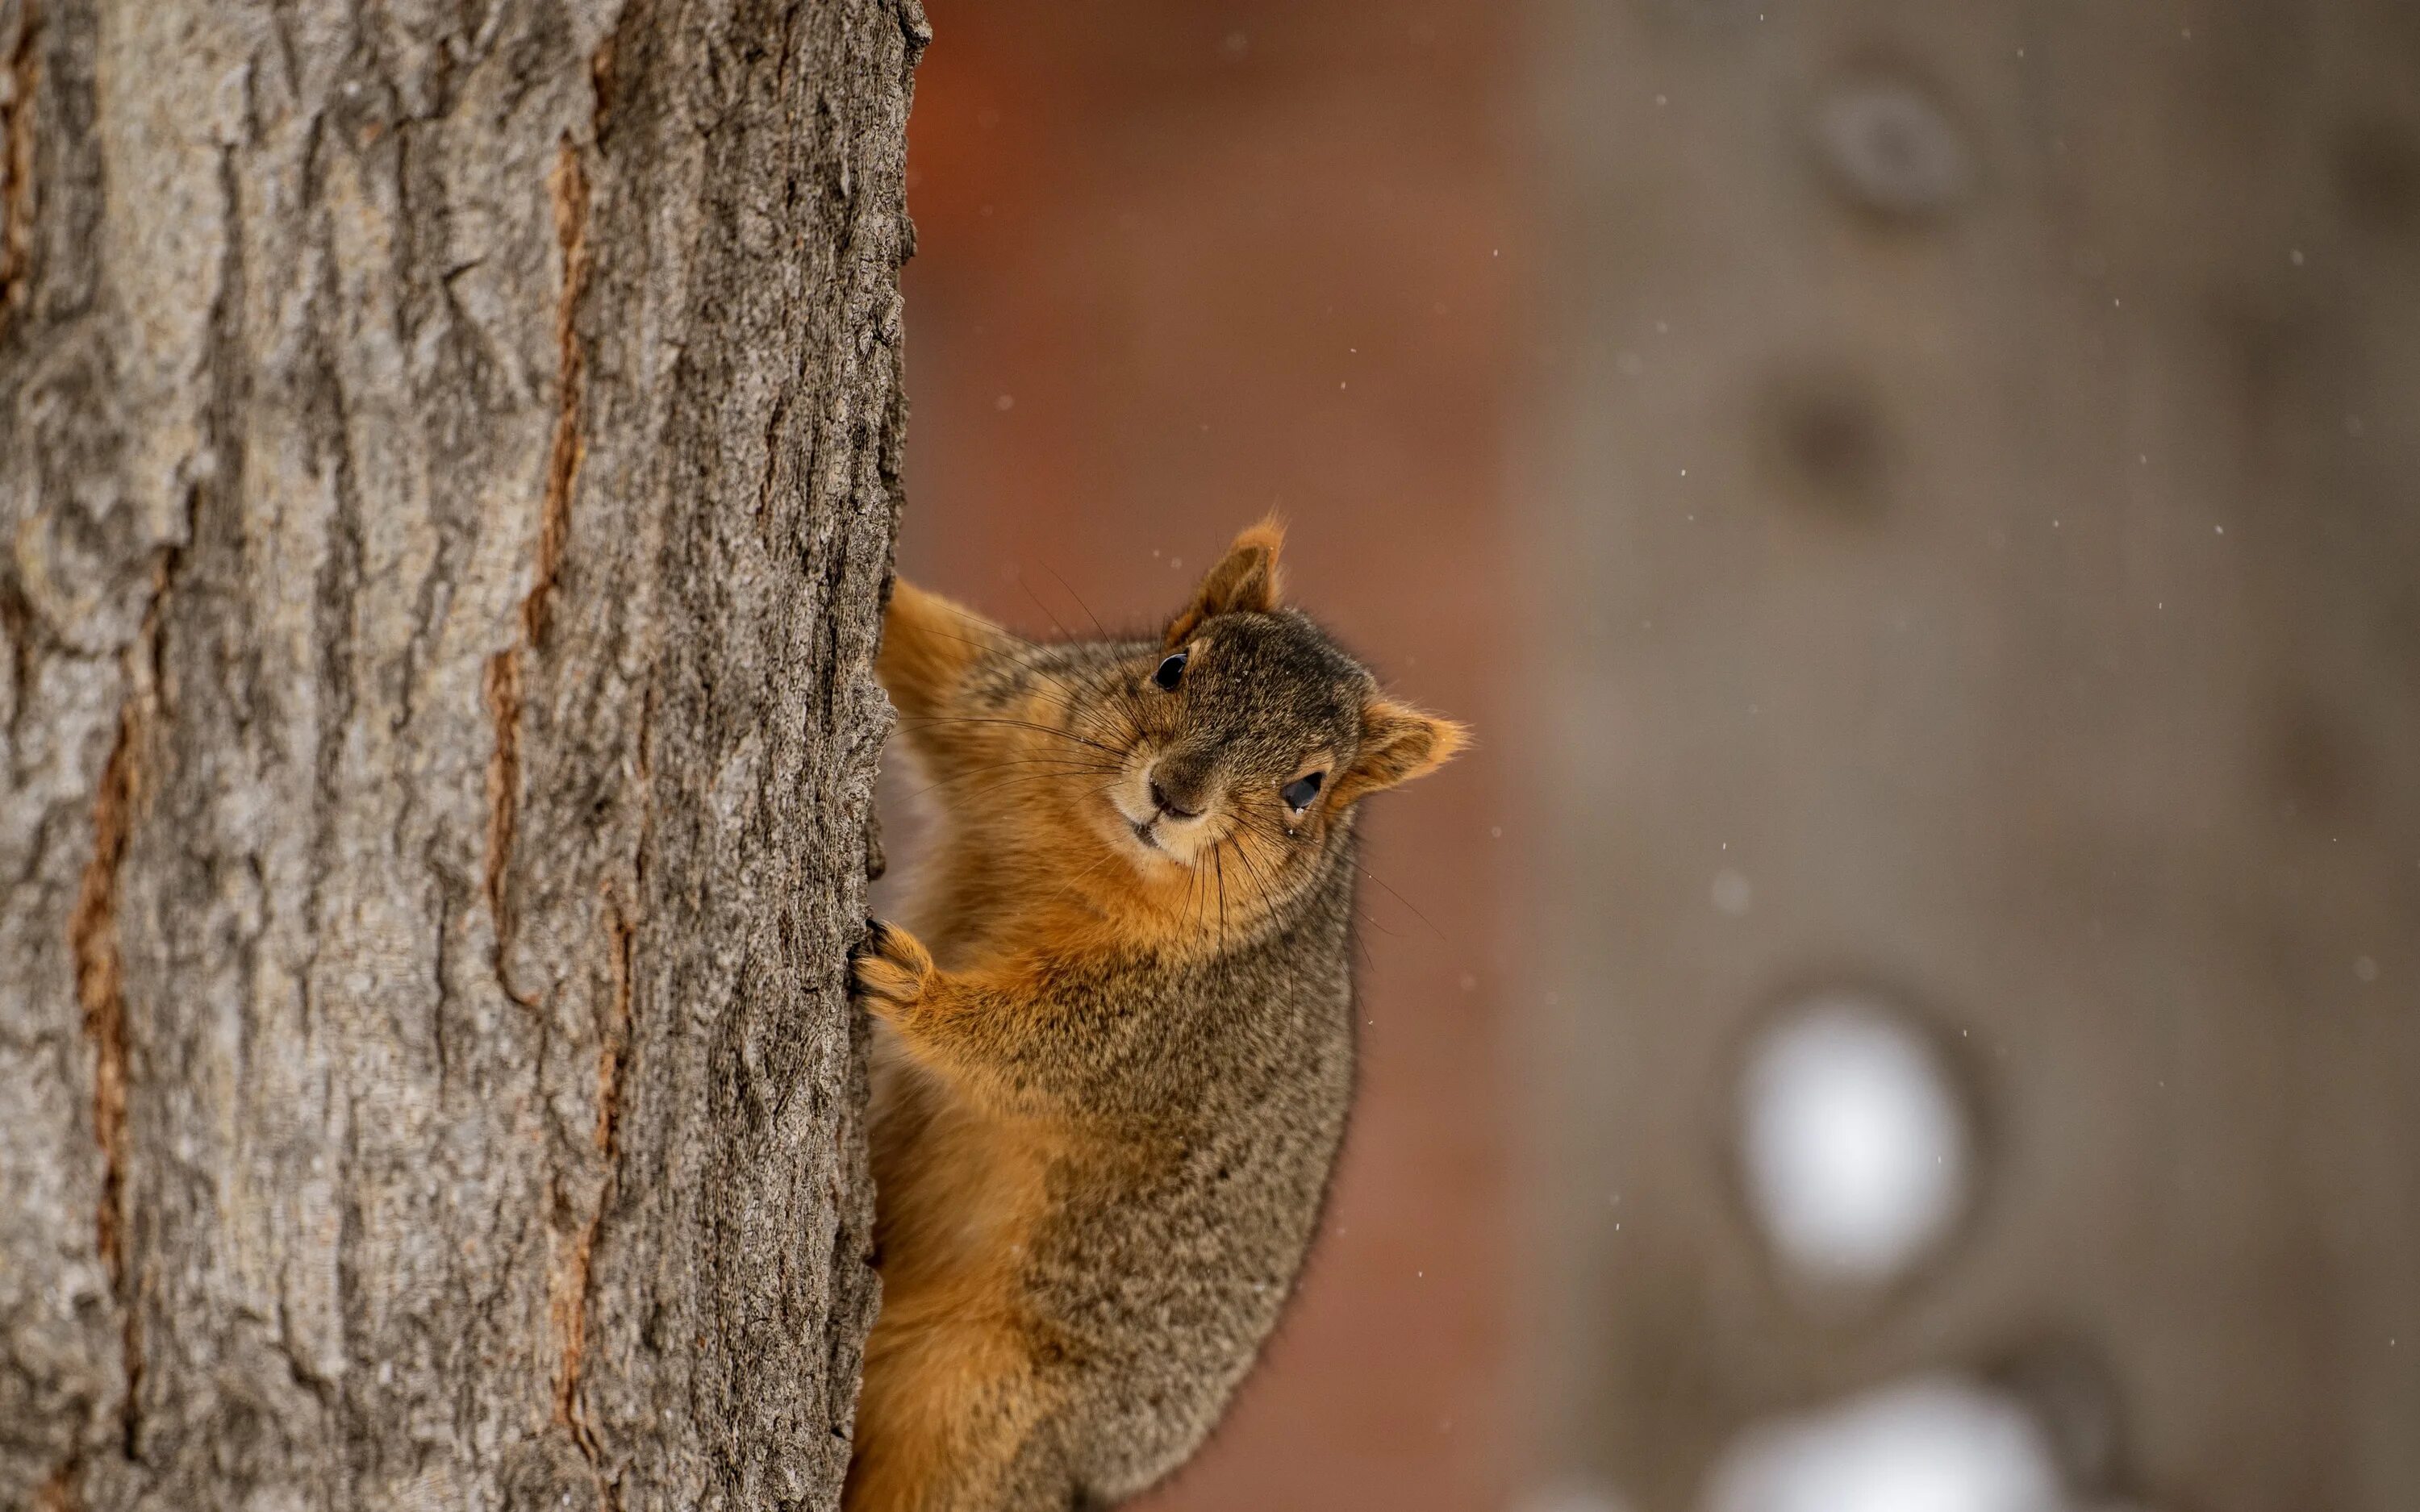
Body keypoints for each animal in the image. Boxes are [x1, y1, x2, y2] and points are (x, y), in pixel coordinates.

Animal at [842, 523, 1462, 1510]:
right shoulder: (1009, 713)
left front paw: (915, 988)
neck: (1098, 851)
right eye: (1171, 667)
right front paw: (890, 592)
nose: (1176, 792)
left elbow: (1039, 1051)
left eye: (1307, 789)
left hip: (984, 1409)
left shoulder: (1165, 1026)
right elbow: (935, 667)